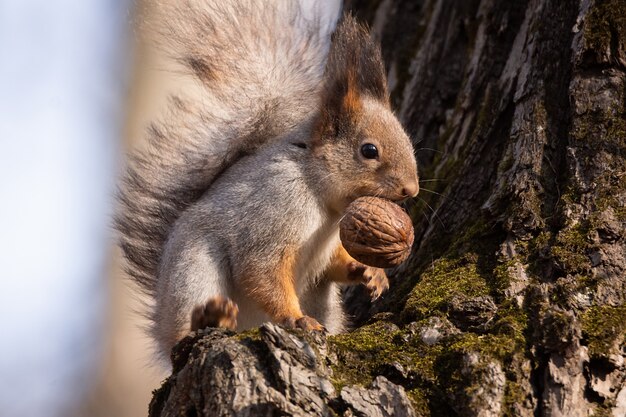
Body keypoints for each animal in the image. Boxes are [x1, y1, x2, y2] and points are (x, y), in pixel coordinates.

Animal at [117, 0, 420, 360]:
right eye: (369, 150)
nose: (412, 189)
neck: (323, 200)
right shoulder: (273, 208)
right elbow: (261, 269)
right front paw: (295, 318)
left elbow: (334, 264)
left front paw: (370, 273)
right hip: (193, 270)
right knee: (182, 331)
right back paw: (207, 318)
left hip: (322, 299)